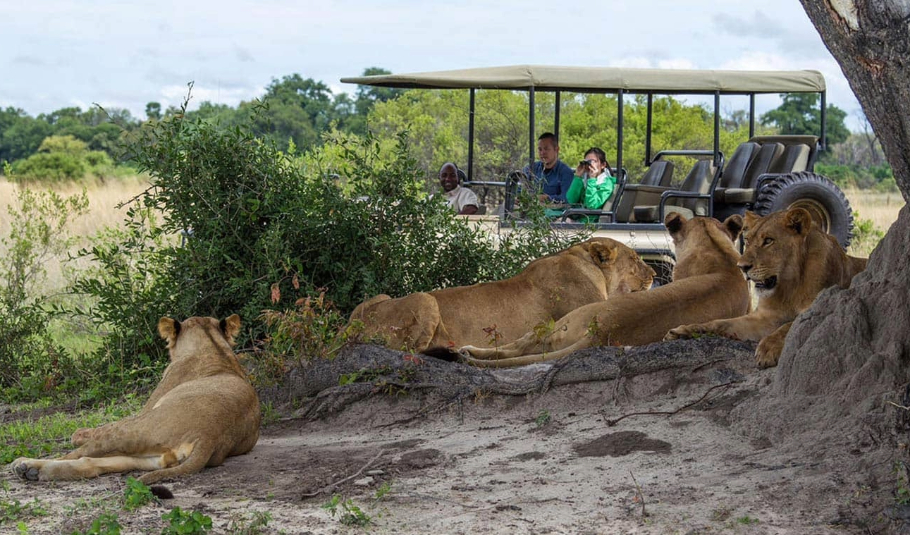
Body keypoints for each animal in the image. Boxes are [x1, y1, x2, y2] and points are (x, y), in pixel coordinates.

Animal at [11, 314, 260, 486]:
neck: (214, 347)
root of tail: (210, 436)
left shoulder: (144, 408)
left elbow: (86, 433)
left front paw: (79, 433)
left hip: (134, 429)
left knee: (79, 452)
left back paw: (24, 464)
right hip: (152, 456)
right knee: (91, 464)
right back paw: (33, 471)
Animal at [348, 239, 656, 356]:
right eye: (635, 258)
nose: (655, 273)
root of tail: (347, 330)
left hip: (377, 297)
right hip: (425, 299)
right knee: (410, 350)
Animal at [464, 214, 756, 368]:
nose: (653, 276)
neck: (720, 254)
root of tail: (600, 333)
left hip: (557, 323)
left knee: (518, 346)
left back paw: (467, 351)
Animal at [668, 208, 868, 368]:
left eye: (768, 241)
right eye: (747, 240)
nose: (742, 267)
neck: (789, 285)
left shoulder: (819, 309)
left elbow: (789, 325)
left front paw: (768, 349)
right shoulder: (764, 317)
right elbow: (720, 323)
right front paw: (684, 331)